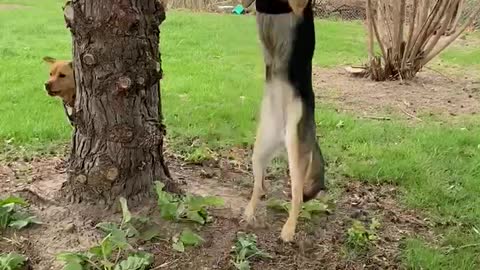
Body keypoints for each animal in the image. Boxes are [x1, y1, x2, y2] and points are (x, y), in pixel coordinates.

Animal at [242, 0, 328, 243]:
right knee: (260, 186)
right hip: (260, 149)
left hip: (295, 149)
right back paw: (249, 213)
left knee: (297, 196)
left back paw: (288, 230)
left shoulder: (299, 6)